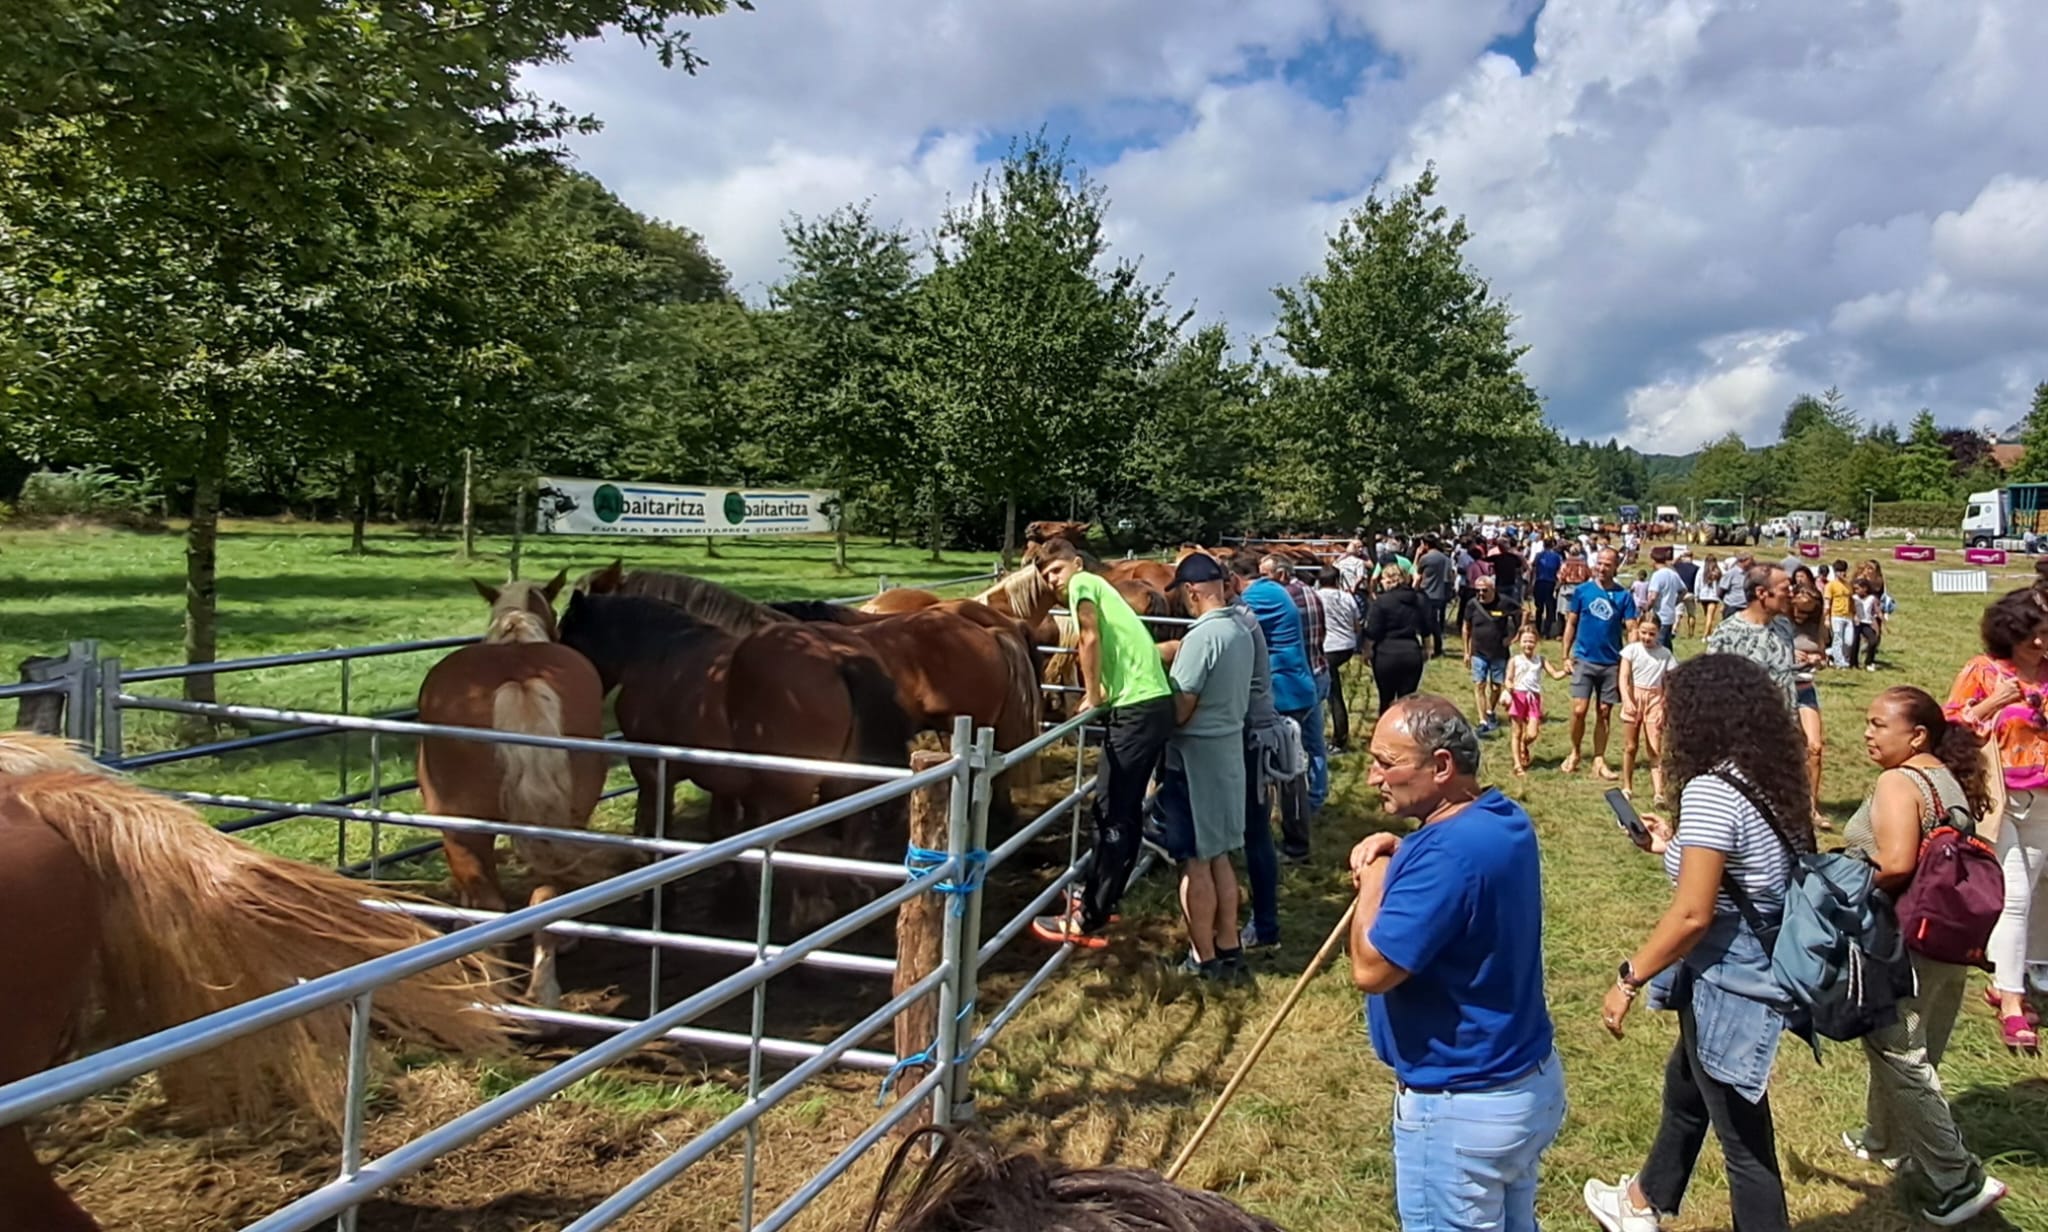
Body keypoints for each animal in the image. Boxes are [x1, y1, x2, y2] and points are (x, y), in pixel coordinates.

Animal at [413, 568, 606, 1002]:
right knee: (545, 896)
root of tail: (520, 681)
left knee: (491, 905)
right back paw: (543, 991)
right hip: (566, 823)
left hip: (463, 828)